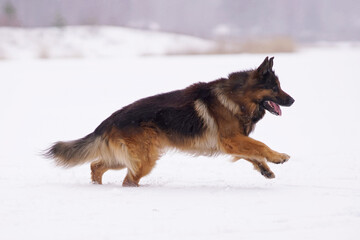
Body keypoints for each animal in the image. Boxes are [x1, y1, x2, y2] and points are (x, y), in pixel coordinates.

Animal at [46, 57, 296, 187]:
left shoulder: (232, 142)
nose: (293, 100)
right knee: (127, 180)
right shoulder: (231, 140)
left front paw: (265, 168)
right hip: (144, 159)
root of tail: (109, 120)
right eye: (275, 88)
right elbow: (260, 146)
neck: (238, 97)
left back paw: (96, 187)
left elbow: (253, 153)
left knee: (96, 165)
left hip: (121, 158)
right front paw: (278, 156)